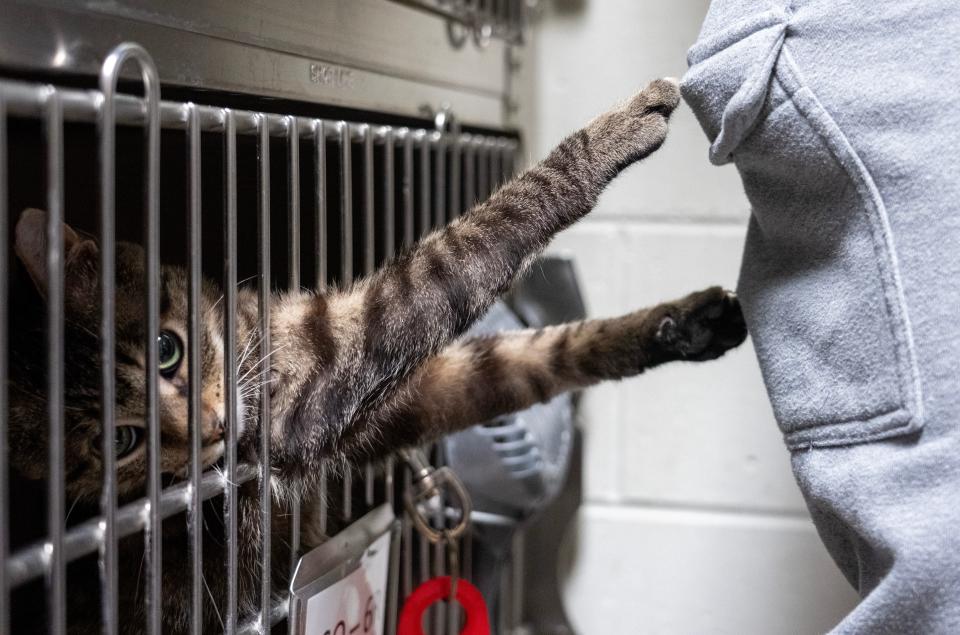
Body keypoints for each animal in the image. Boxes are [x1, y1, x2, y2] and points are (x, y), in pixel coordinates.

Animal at [3, 78, 748, 632]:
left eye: (166, 348)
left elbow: (529, 357)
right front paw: (614, 133)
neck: (242, 339)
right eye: (120, 441)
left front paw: (679, 323)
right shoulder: (333, 359)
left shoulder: (386, 393)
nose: (211, 428)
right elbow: (477, 239)